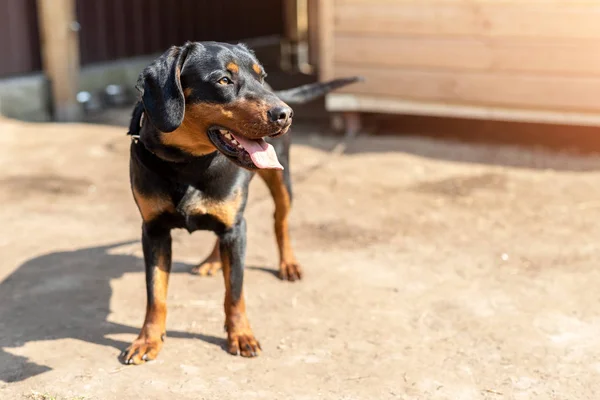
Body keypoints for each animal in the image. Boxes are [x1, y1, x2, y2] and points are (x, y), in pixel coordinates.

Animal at [119, 42, 358, 364]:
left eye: (261, 76)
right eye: (223, 80)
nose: (286, 114)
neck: (188, 163)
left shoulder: (236, 229)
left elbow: (234, 291)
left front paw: (241, 335)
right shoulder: (154, 231)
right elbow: (155, 293)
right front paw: (148, 339)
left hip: (282, 183)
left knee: (279, 221)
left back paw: (288, 263)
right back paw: (212, 261)